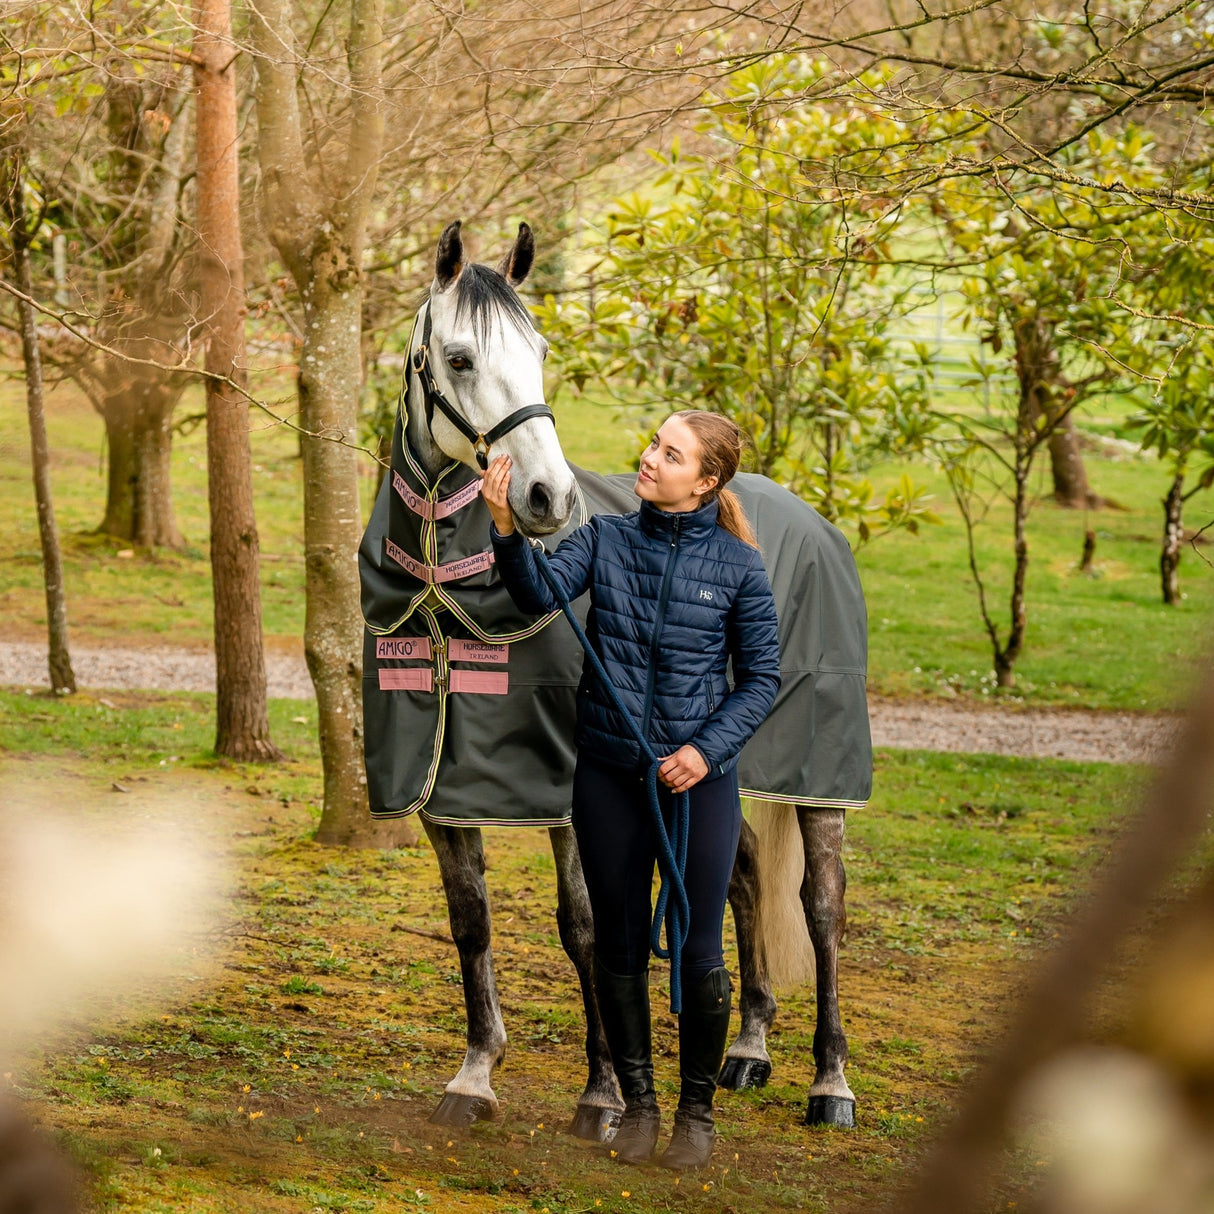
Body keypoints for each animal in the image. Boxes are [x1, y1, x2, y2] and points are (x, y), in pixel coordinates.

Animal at [354, 218, 869, 1136]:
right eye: (458, 358)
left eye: (539, 350)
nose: (547, 499)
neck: (448, 584)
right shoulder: (439, 784)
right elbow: (471, 922)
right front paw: (476, 1074)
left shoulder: (566, 787)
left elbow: (586, 927)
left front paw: (601, 1095)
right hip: (714, 769)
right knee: (740, 878)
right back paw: (748, 1046)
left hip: (819, 782)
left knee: (823, 908)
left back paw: (830, 1083)